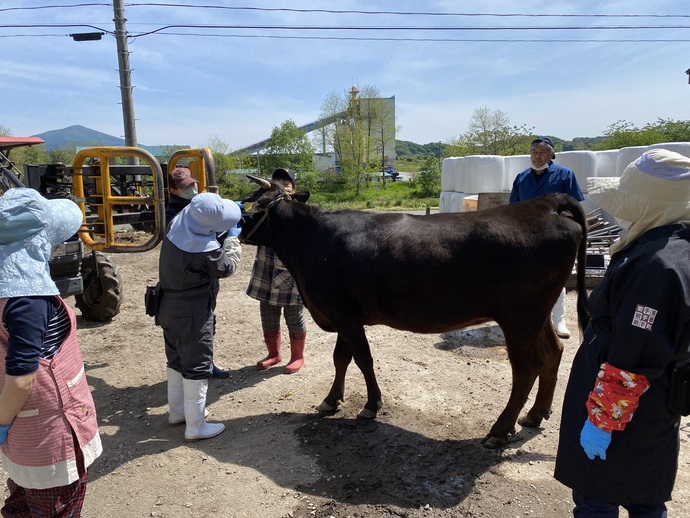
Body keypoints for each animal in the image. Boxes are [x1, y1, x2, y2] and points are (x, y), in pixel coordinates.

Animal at [238, 177, 584, 448]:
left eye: (251, 204)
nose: (234, 228)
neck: (310, 243)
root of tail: (545, 203)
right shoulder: (343, 314)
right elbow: (341, 359)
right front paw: (332, 399)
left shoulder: (343, 316)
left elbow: (362, 360)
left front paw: (371, 404)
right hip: (538, 314)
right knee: (553, 351)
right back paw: (536, 414)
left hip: (519, 317)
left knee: (526, 369)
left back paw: (500, 430)